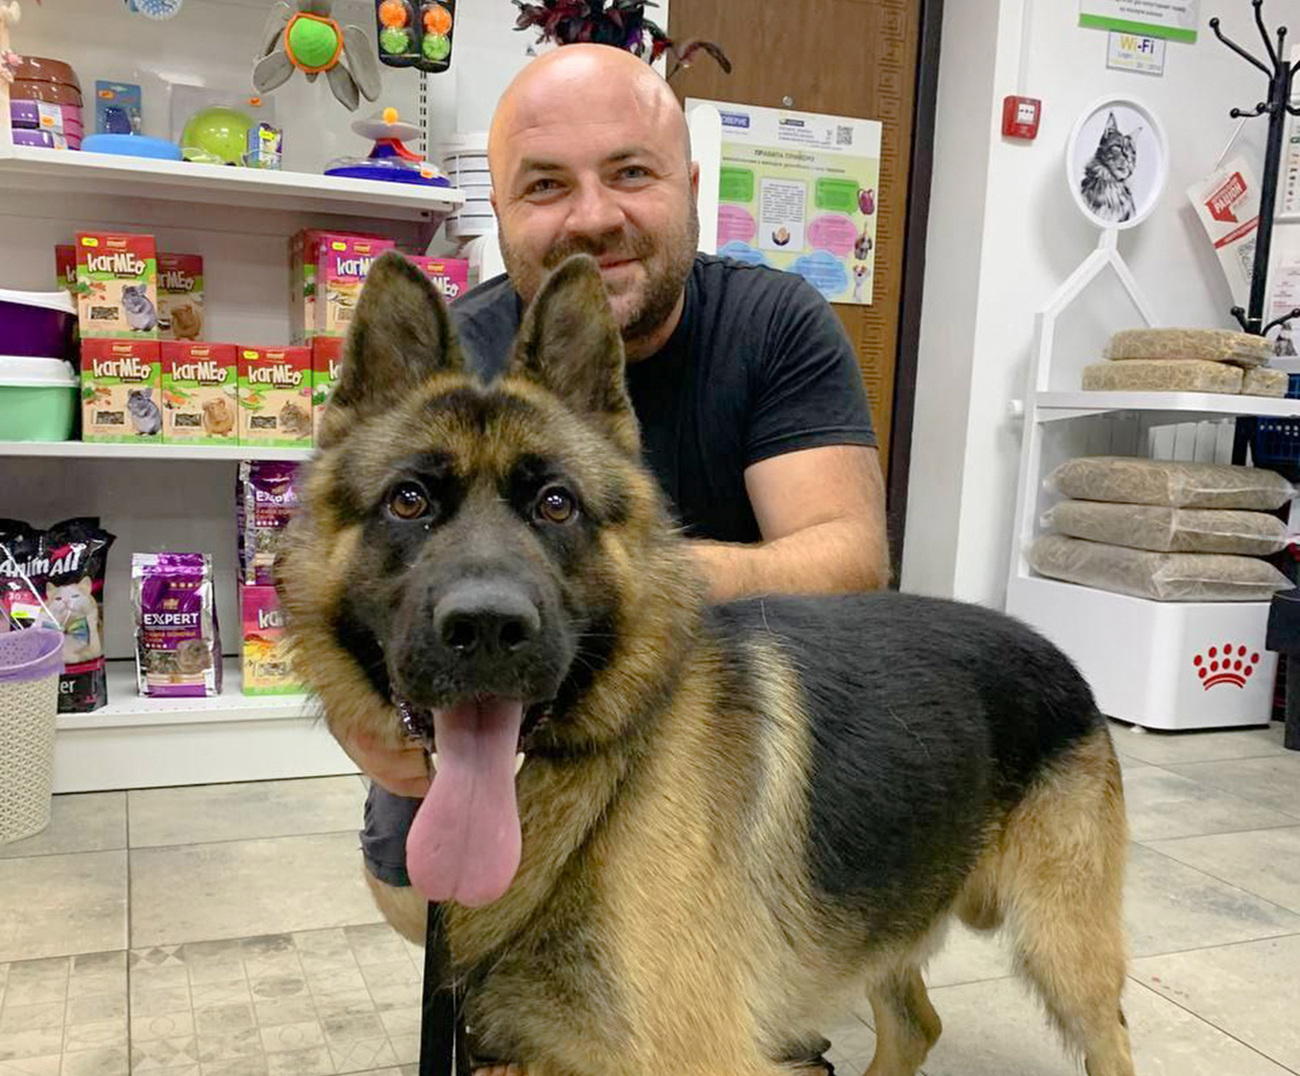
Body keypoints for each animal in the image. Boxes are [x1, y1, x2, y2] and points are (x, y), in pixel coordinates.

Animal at [279, 249, 1133, 1076]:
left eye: (556, 504)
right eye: (409, 501)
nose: (488, 629)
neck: (607, 782)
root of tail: (1059, 653)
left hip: (1064, 952)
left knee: (1106, 1042)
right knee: (916, 1028)